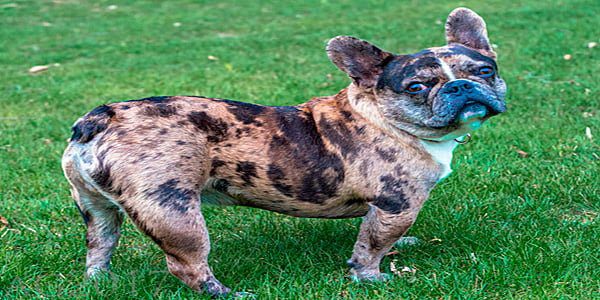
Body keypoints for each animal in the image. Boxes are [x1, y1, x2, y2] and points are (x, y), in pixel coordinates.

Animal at [63, 7, 506, 298]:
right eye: (417, 87)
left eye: (485, 71)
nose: (461, 86)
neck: (382, 115)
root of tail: (100, 118)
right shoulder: (397, 204)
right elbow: (372, 245)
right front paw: (371, 277)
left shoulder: (386, 209)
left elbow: (376, 233)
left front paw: (402, 247)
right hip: (172, 209)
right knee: (187, 264)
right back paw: (226, 293)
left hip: (96, 208)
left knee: (99, 244)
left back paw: (100, 281)